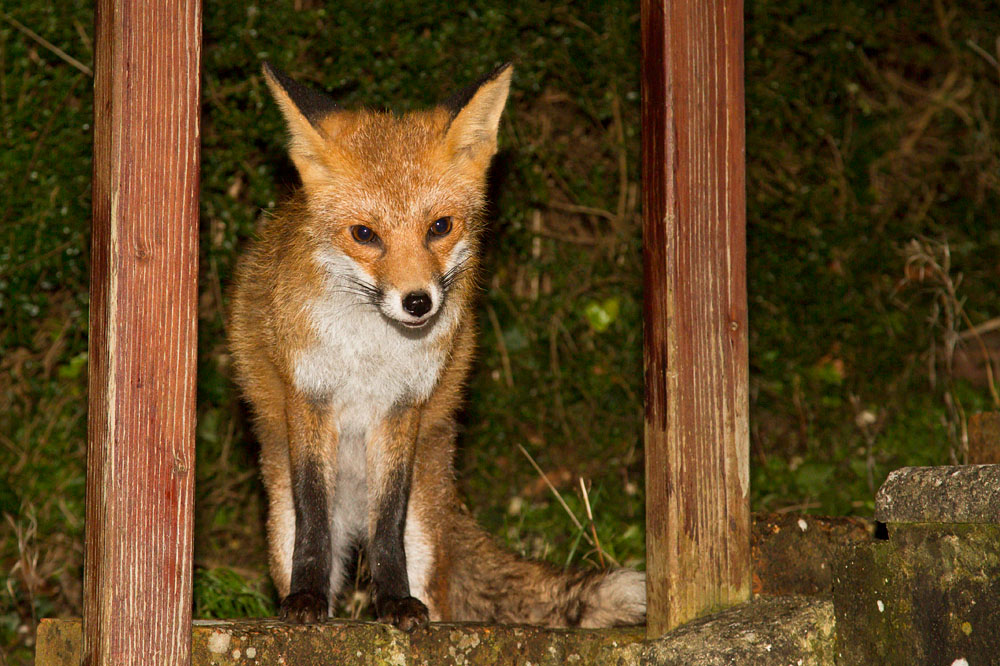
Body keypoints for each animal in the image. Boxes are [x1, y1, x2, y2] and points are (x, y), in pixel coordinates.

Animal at [228, 61, 646, 632]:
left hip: (426, 531)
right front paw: (305, 600)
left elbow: (388, 525)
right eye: (364, 234)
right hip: (279, 523)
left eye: (440, 227)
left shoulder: (403, 406)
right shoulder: (309, 397)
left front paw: (395, 602)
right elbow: (313, 519)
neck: (370, 351)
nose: (417, 302)